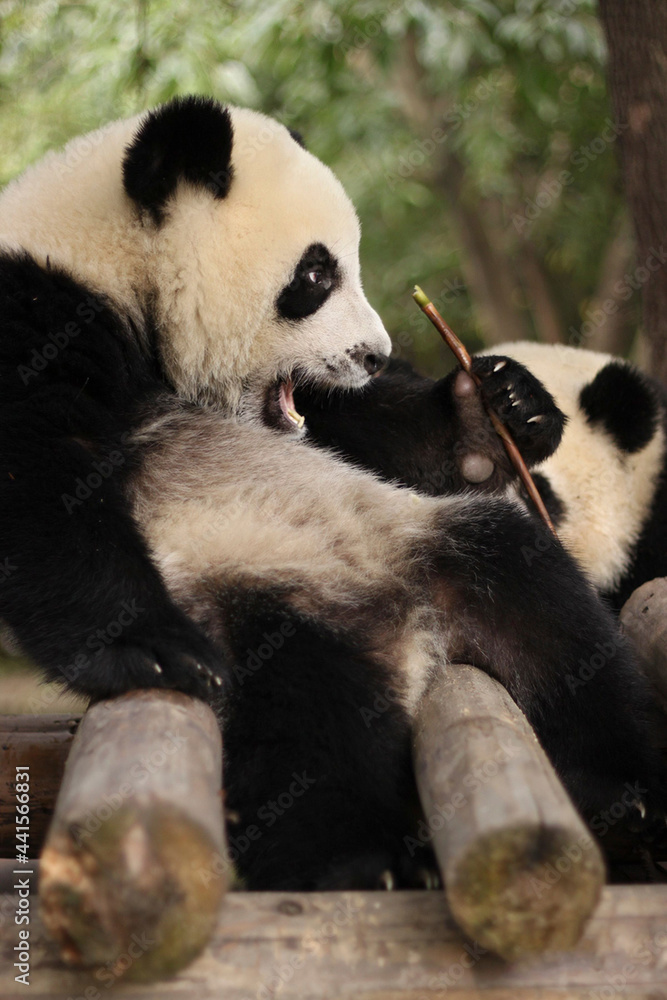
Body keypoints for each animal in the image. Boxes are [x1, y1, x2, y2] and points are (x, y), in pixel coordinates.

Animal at [1, 96, 665, 889]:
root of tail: (411, 641)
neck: (112, 267)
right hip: (258, 597)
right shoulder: (35, 321)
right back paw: (352, 862)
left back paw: (620, 792)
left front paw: (502, 409)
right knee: (305, 729)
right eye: (316, 274)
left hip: (424, 544)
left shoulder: (320, 417)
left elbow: (362, 428)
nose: (375, 353)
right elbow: (39, 488)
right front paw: (153, 651)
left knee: (543, 608)